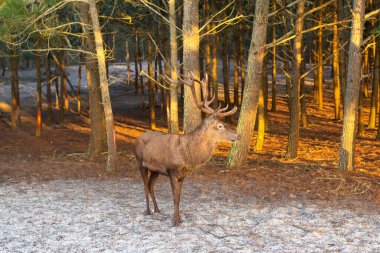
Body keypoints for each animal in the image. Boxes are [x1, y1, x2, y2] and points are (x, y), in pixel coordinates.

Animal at [133, 73, 240, 225]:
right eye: (220, 126)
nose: (238, 135)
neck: (187, 156)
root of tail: (136, 139)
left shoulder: (182, 175)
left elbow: (179, 198)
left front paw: (179, 219)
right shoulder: (172, 171)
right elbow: (175, 198)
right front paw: (174, 221)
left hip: (155, 170)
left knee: (150, 185)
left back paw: (157, 210)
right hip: (140, 162)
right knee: (145, 186)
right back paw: (148, 211)